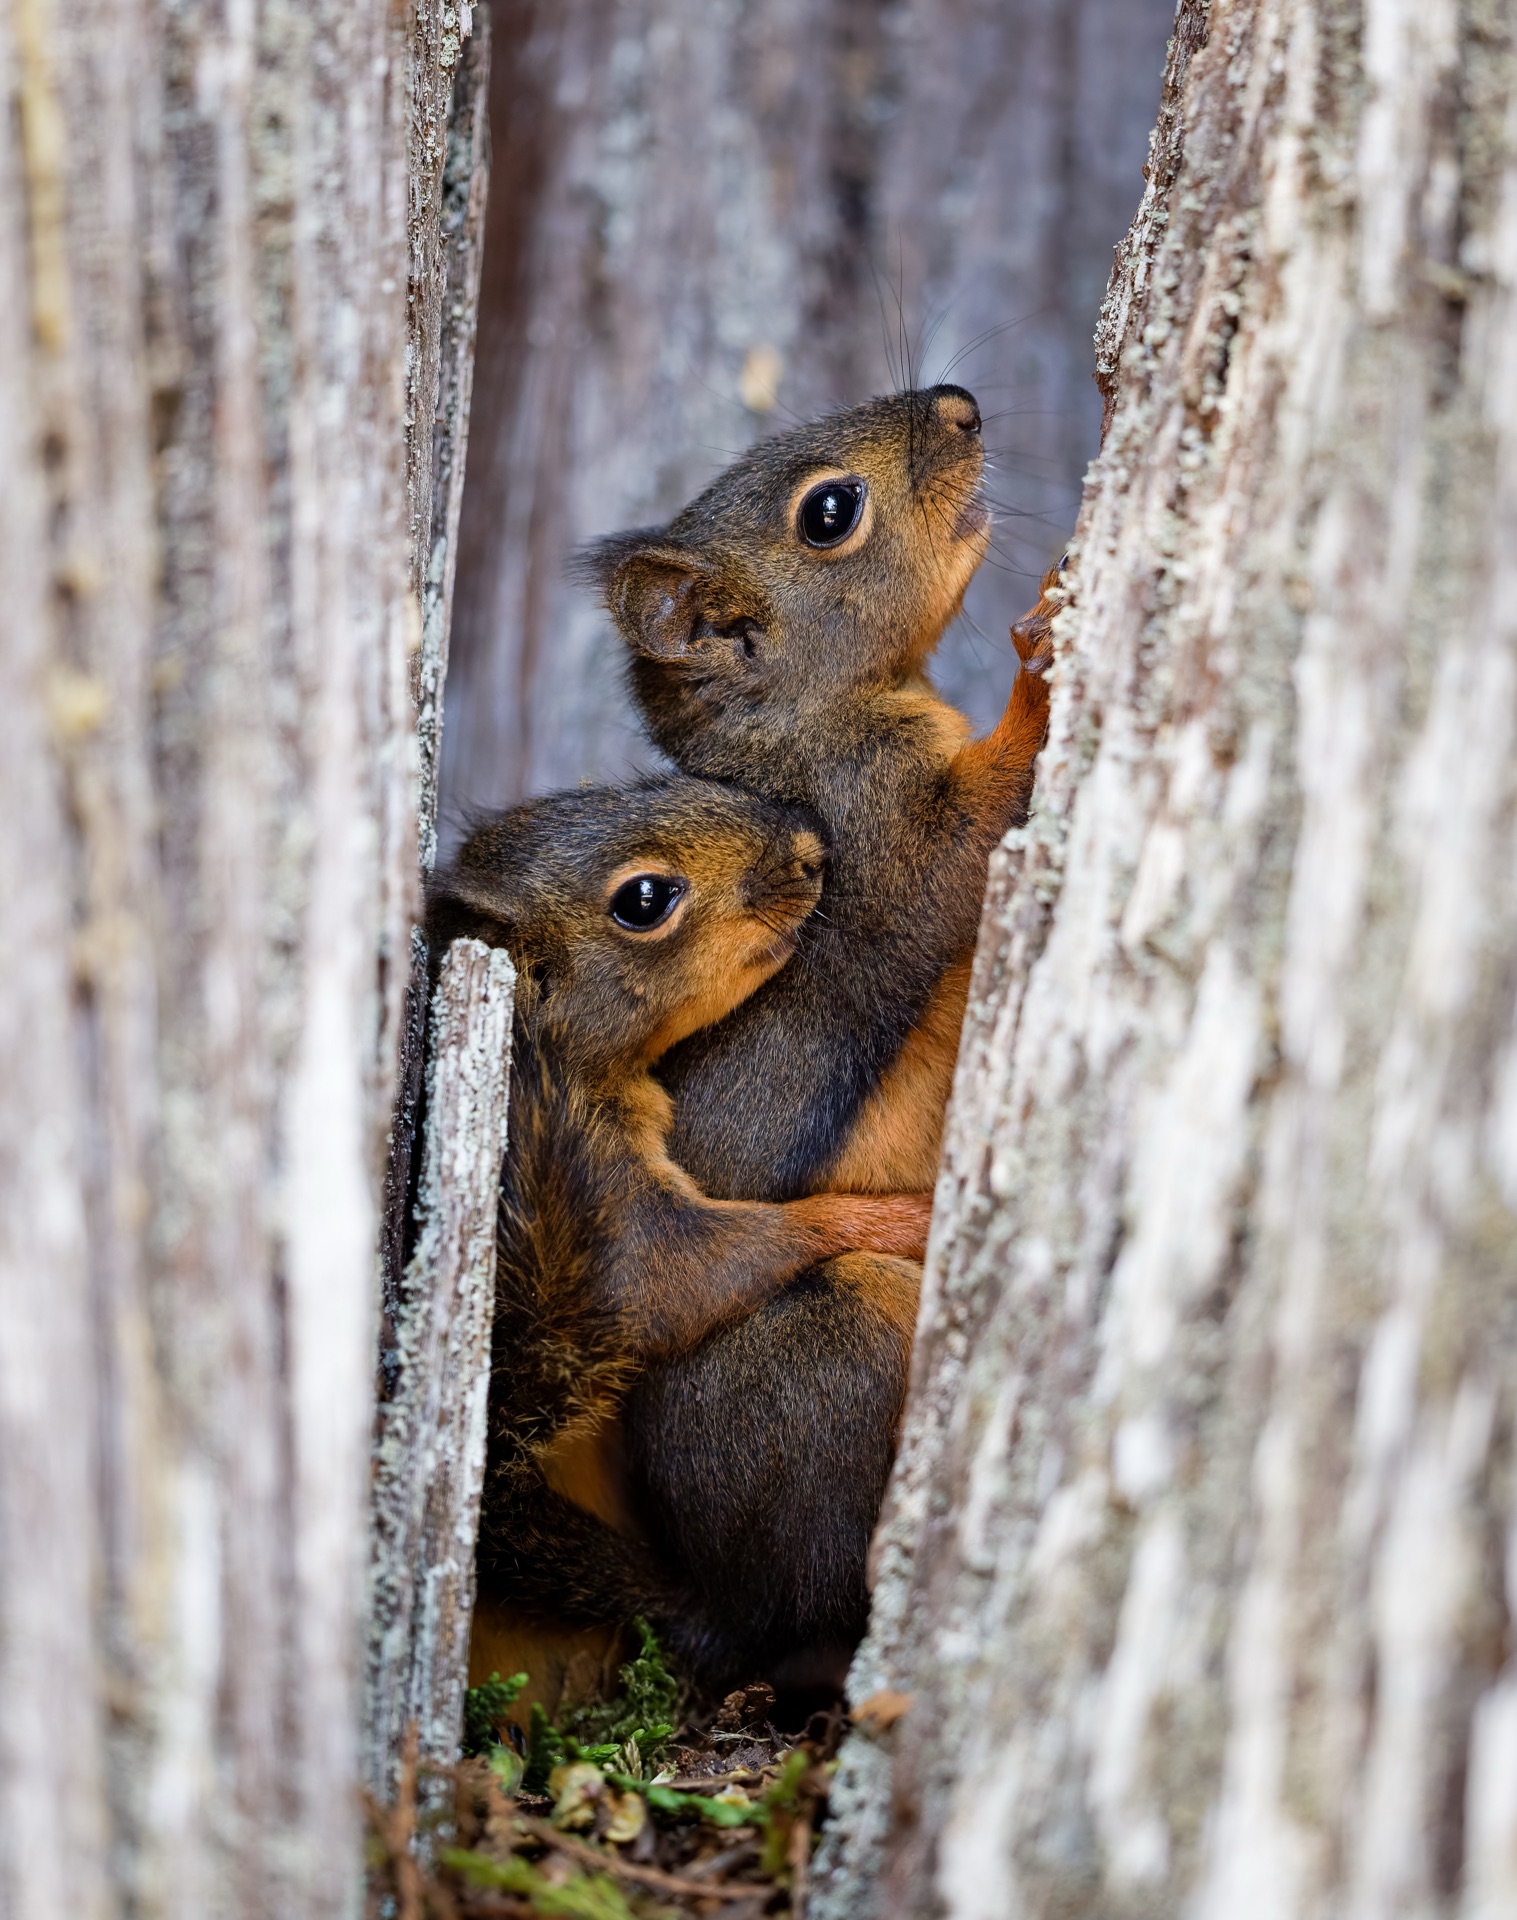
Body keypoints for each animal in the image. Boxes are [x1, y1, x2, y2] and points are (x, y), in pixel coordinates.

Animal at [425, 778, 933, 1697]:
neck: (548, 1054)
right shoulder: (605, 1208)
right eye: (644, 900)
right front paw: (895, 1214)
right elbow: (688, 1279)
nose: (809, 849)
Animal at [575, 385, 1058, 1685]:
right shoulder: (881, 840)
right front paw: (1041, 663)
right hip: (839, 1335)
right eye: (828, 513)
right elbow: (962, 845)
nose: (960, 404)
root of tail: (720, 1601)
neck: (806, 729)